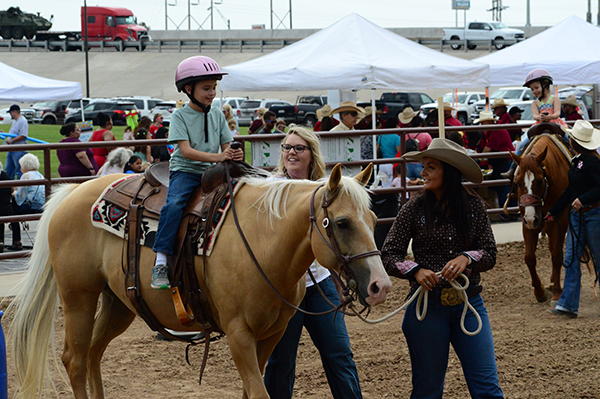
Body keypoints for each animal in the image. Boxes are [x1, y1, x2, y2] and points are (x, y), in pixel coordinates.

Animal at [11, 164, 394, 398]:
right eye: (342, 222)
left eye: (374, 218)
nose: (381, 286)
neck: (262, 239)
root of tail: (70, 195)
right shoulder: (239, 334)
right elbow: (258, 392)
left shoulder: (272, 333)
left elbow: (250, 391)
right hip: (79, 296)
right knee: (74, 360)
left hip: (119, 303)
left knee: (93, 353)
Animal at [510, 132, 572, 304]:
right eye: (518, 183)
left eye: (539, 181)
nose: (532, 218)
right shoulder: (527, 222)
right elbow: (529, 257)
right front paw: (539, 291)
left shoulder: (559, 221)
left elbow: (557, 255)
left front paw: (557, 292)